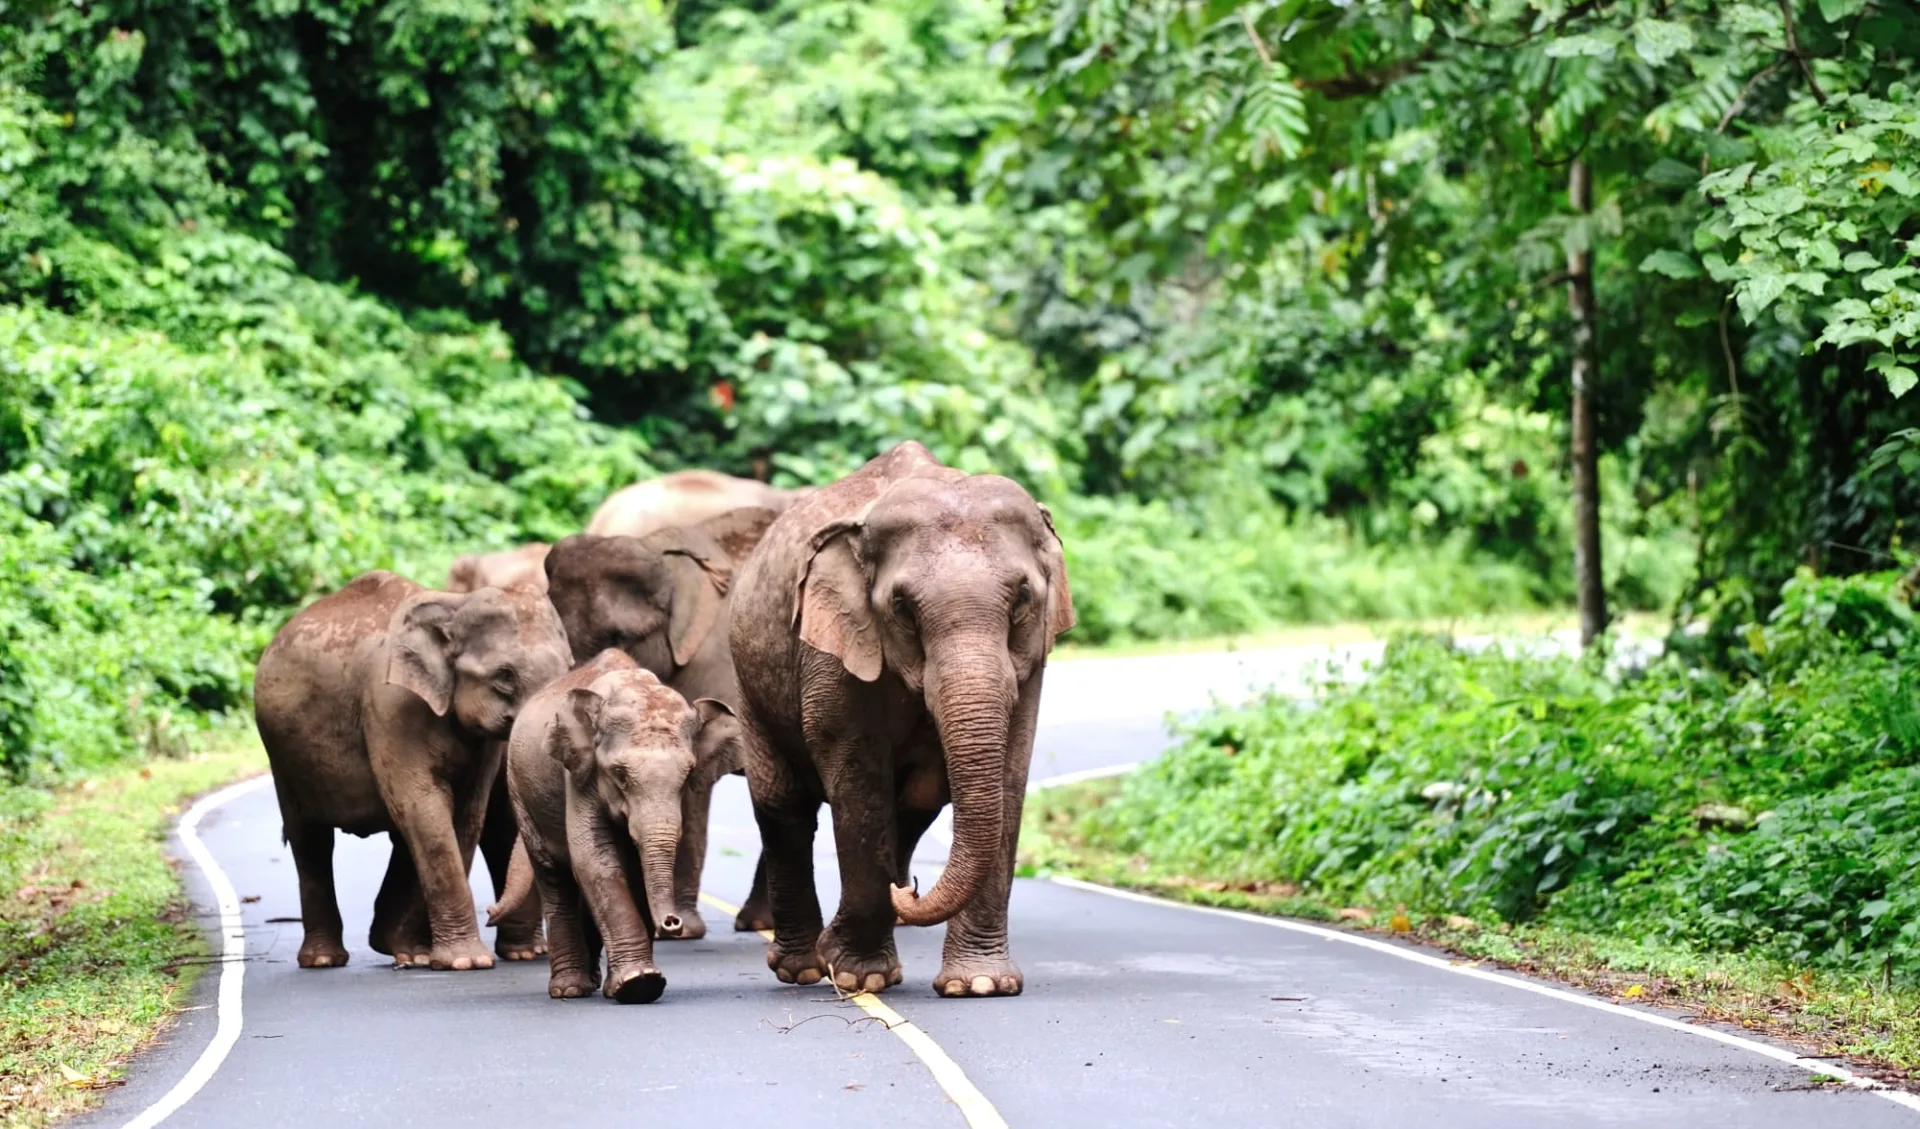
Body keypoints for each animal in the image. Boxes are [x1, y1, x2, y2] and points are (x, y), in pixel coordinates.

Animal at [253, 572, 572, 971]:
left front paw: (434, 956)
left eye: (570, 669)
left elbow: (463, 814)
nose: (489, 911)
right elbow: (424, 807)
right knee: (310, 838)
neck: (454, 605)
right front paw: (465, 963)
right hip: (281, 756)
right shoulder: (390, 707)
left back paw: (406, 950)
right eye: (504, 676)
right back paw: (325, 960)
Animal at [490, 649, 742, 1002]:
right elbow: (595, 861)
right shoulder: (580, 775)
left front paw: (631, 985)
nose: (672, 923)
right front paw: (640, 983)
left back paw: (594, 983)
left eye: (688, 775)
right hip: (521, 791)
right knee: (554, 876)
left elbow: (632, 869)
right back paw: (569, 990)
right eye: (619, 774)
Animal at [725, 441, 1075, 997]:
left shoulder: (1033, 658)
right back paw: (803, 969)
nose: (908, 889)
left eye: (1023, 598)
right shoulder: (832, 647)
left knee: (914, 806)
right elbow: (857, 776)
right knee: (784, 806)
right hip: (749, 683)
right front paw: (859, 975)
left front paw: (980, 985)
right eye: (902, 607)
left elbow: (1009, 772)